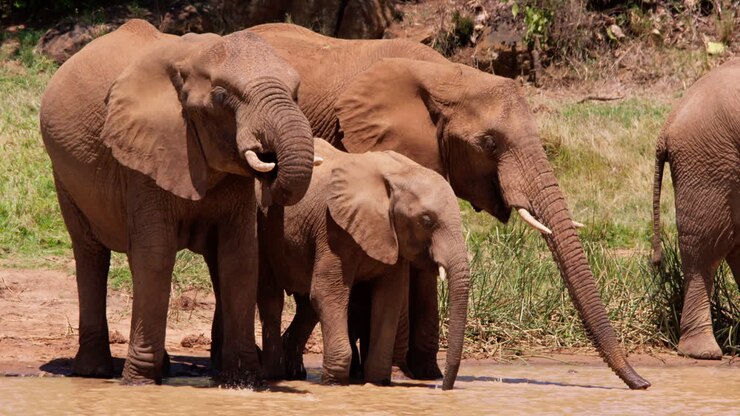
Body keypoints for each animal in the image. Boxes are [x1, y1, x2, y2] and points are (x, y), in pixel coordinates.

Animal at [39, 19, 315, 385]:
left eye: (296, 94)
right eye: (222, 97)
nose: (271, 160)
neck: (192, 57)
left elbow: (240, 257)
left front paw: (243, 381)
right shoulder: (142, 156)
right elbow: (156, 255)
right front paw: (139, 382)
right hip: (64, 176)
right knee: (90, 253)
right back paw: (94, 371)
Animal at [257, 138, 469, 390]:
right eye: (426, 220)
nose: (443, 386)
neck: (397, 175)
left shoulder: (391, 239)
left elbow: (389, 300)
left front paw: (377, 382)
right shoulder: (333, 229)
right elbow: (327, 293)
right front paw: (335, 383)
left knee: (307, 308)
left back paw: (294, 372)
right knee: (272, 299)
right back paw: (273, 373)